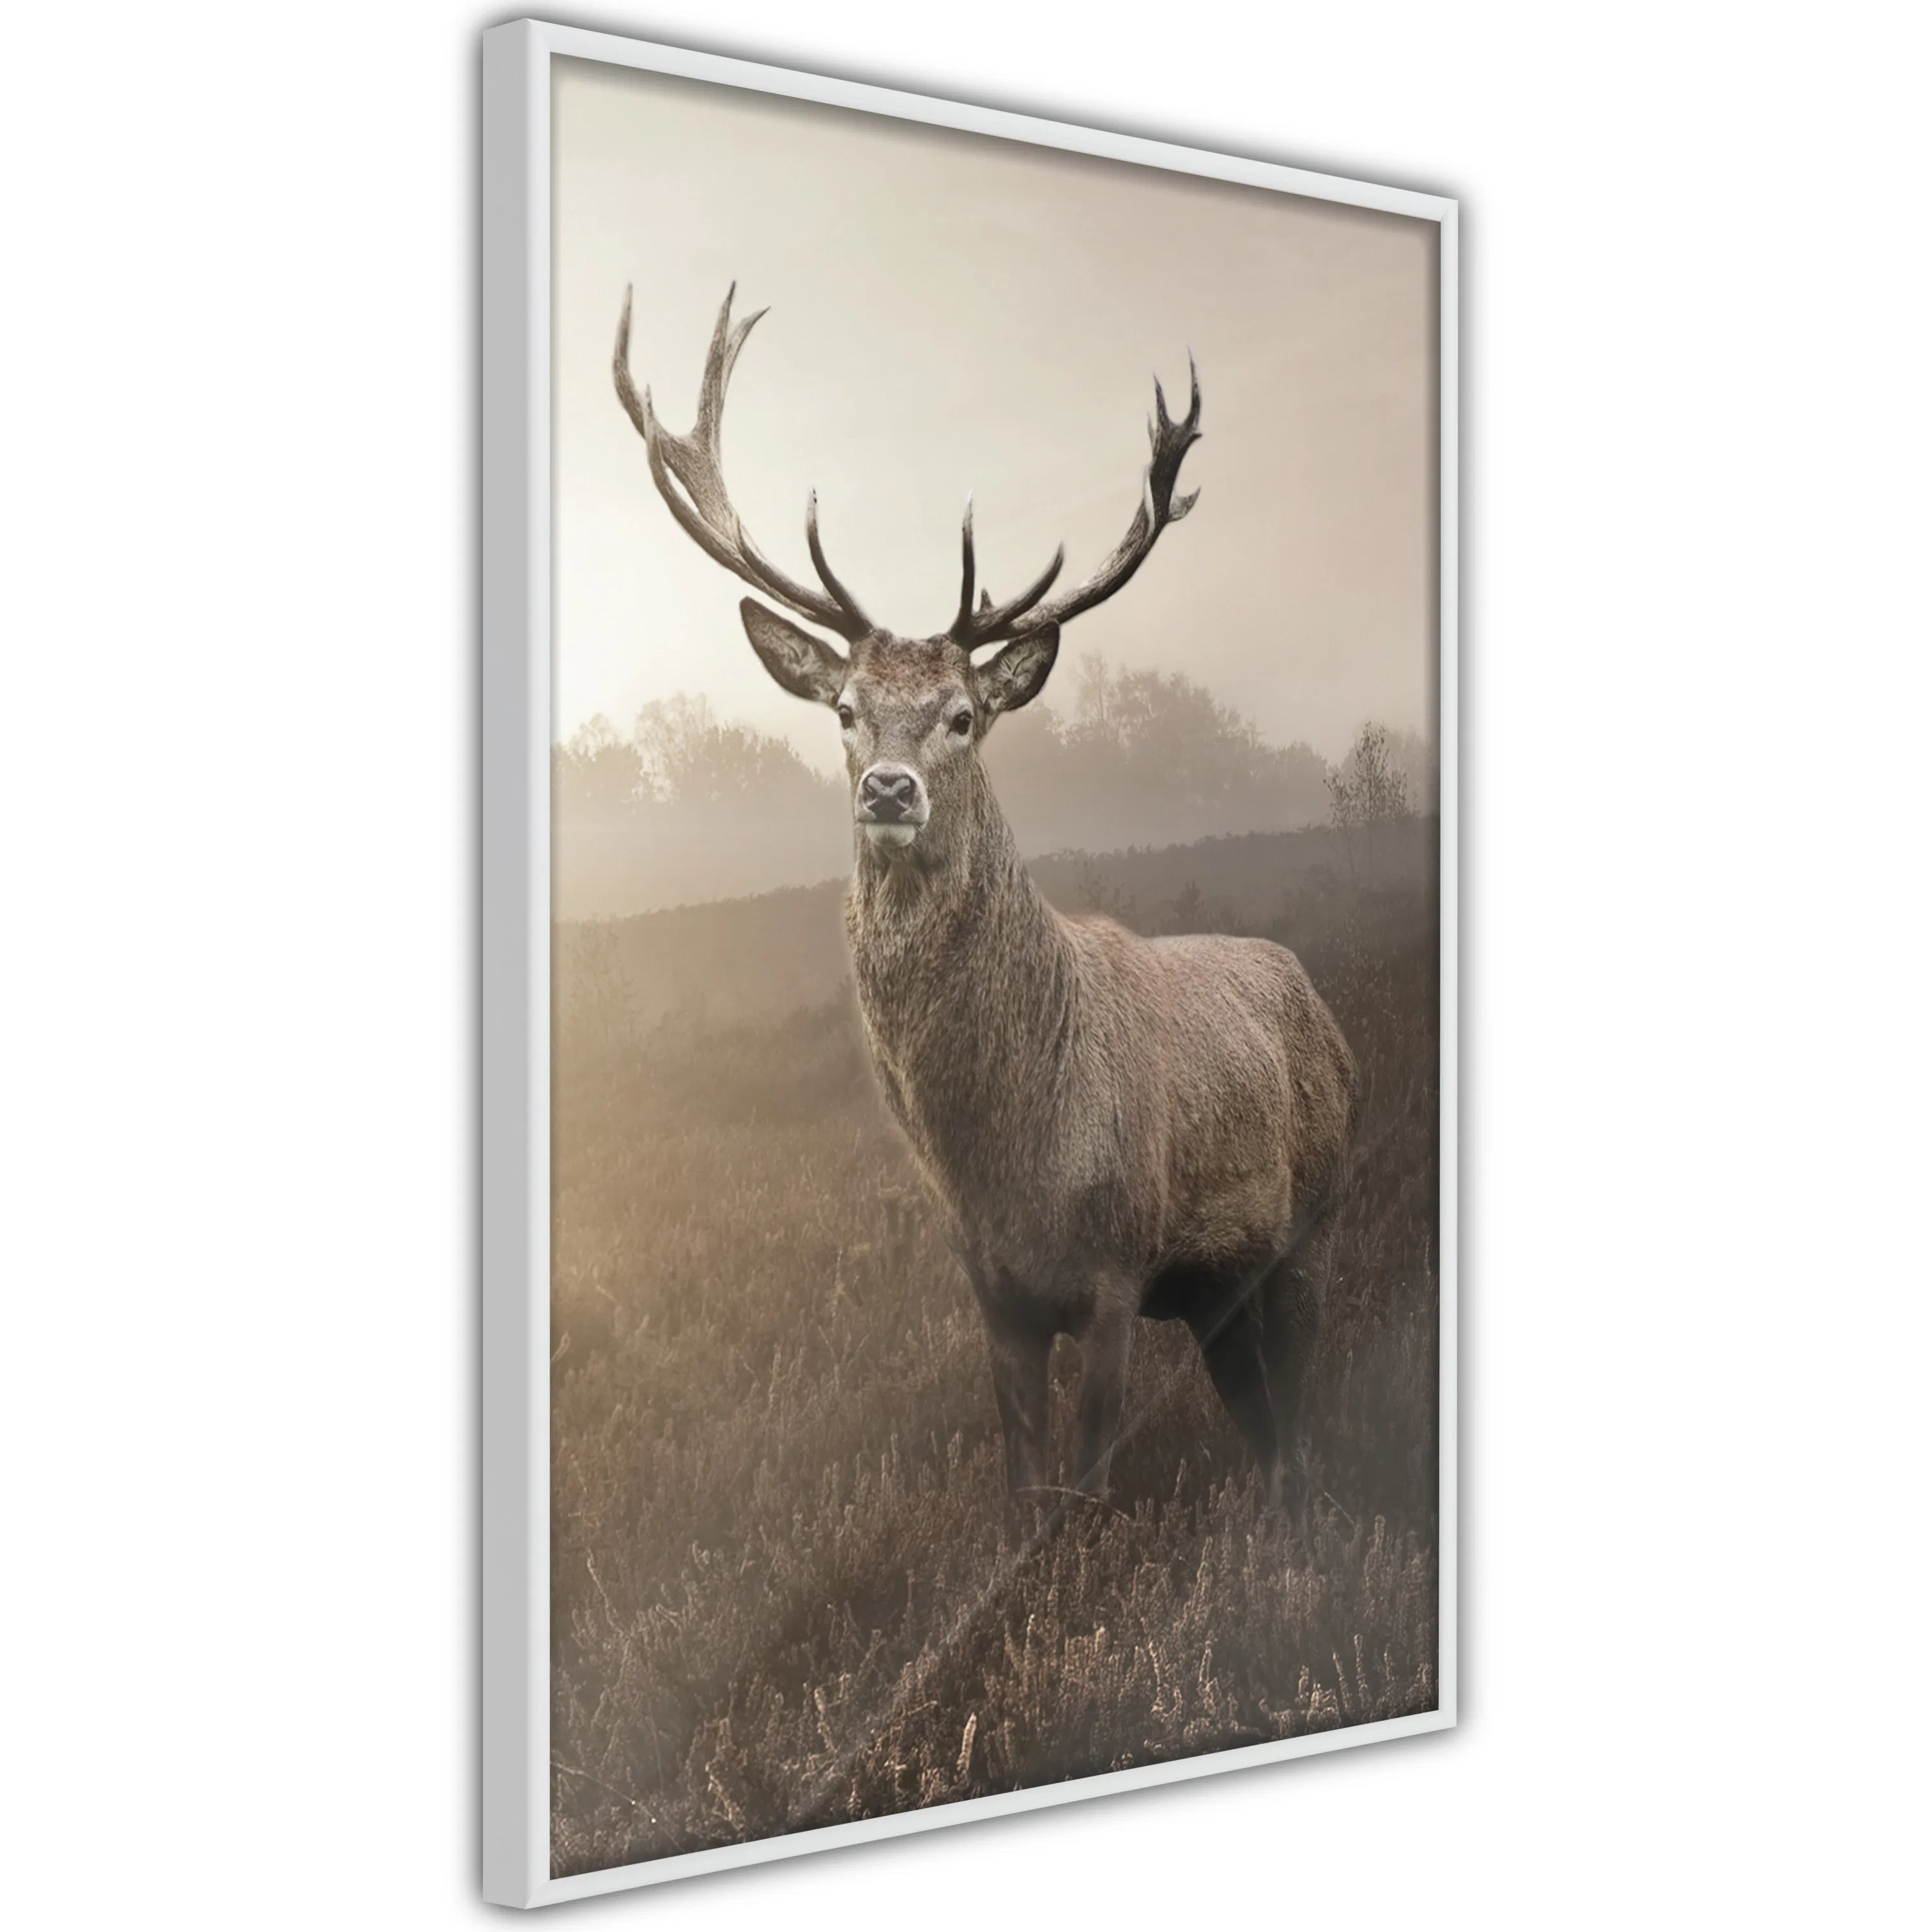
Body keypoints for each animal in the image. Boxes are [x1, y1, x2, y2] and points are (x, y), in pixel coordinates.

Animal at [613, 287, 1359, 1517]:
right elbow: (1022, 1493)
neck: (1010, 1165)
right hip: (1220, 1292)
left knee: (1300, 1420)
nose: (889, 788)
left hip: (1314, 1218)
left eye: (964, 714)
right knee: (1262, 1421)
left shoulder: (1116, 1265)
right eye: (847, 710)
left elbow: (1090, 1486)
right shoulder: (994, 1292)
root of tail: (1316, 994)